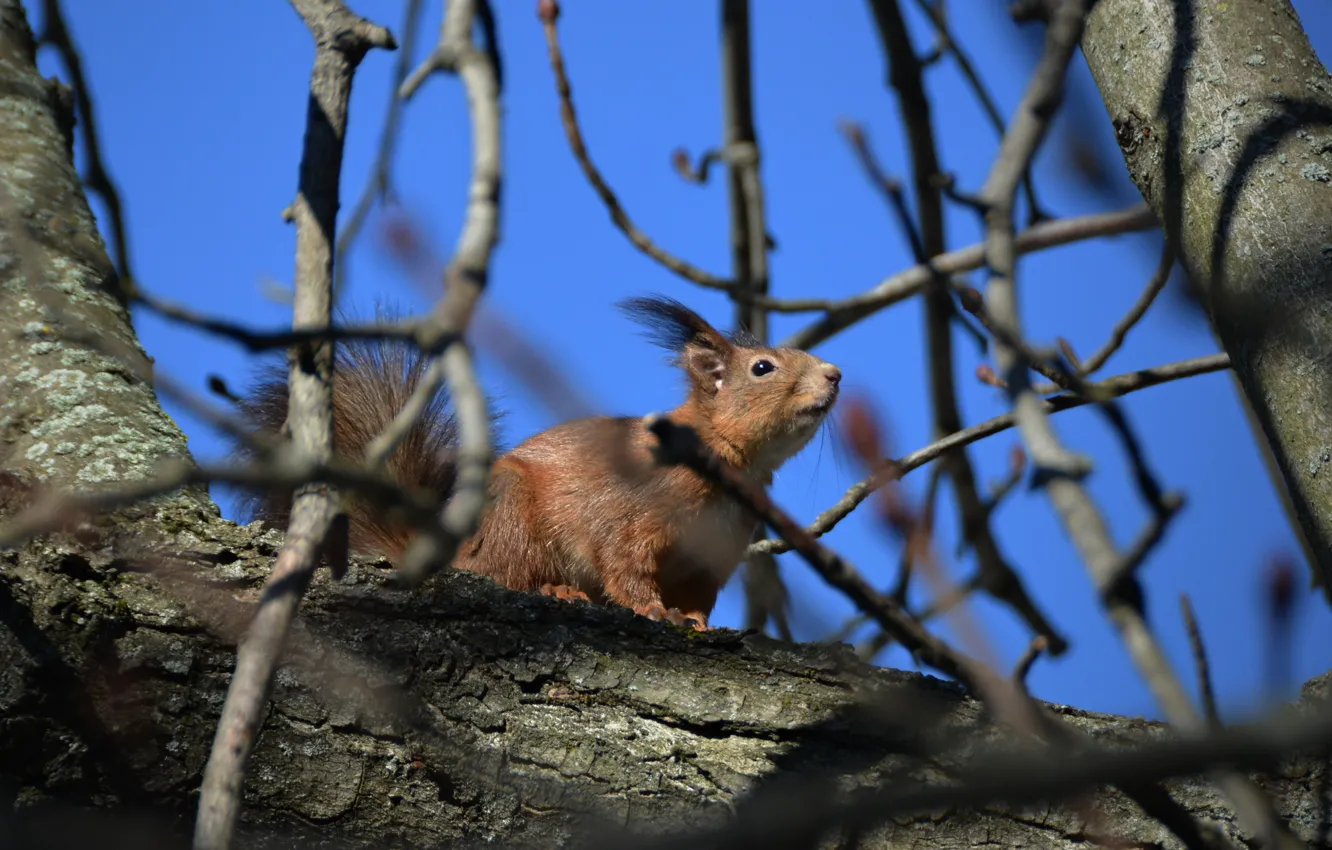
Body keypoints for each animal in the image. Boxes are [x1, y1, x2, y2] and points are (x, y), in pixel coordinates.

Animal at [230, 295, 841, 628]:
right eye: (762, 368)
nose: (835, 374)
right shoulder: (635, 514)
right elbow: (624, 564)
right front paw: (653, 610)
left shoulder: (713, 555)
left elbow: (700, 597)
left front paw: (695, 622)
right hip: (509, 518)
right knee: (505, 575)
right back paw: (556, 591)